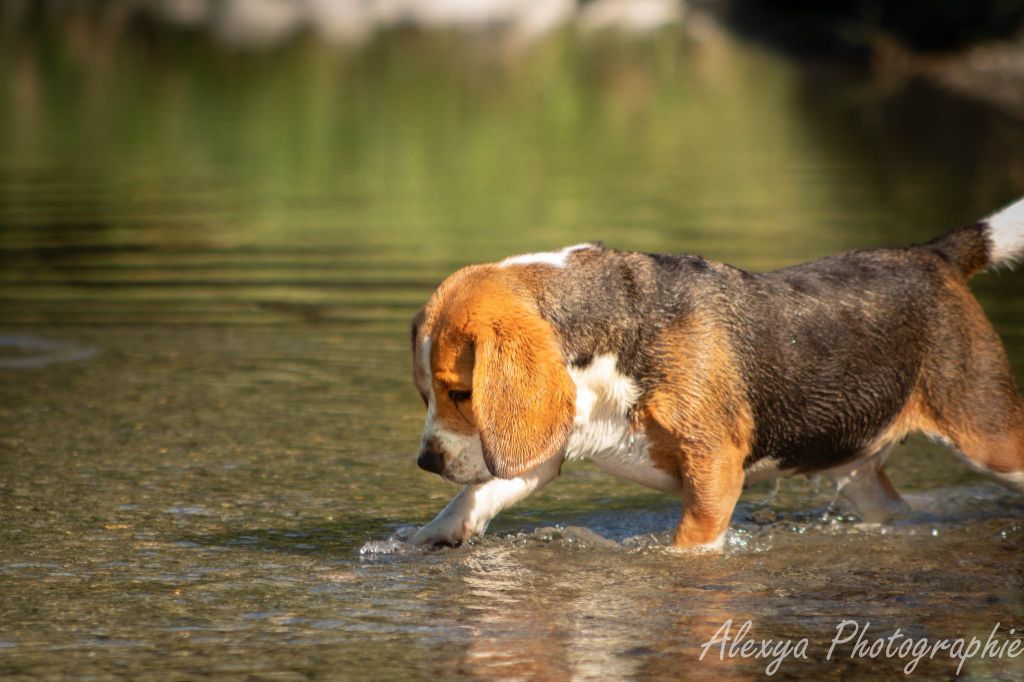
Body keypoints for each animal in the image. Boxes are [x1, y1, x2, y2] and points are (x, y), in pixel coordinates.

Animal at [407, 197, 1024, 548]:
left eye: (460, 393)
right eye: (426, 396)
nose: (426, 462)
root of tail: (933, 254)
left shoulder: (714, 468)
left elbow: (688, 549)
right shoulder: (549, 447)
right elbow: (481, 493)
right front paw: (434, 535)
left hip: (988, 439)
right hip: (857, 469)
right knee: (891, 509)